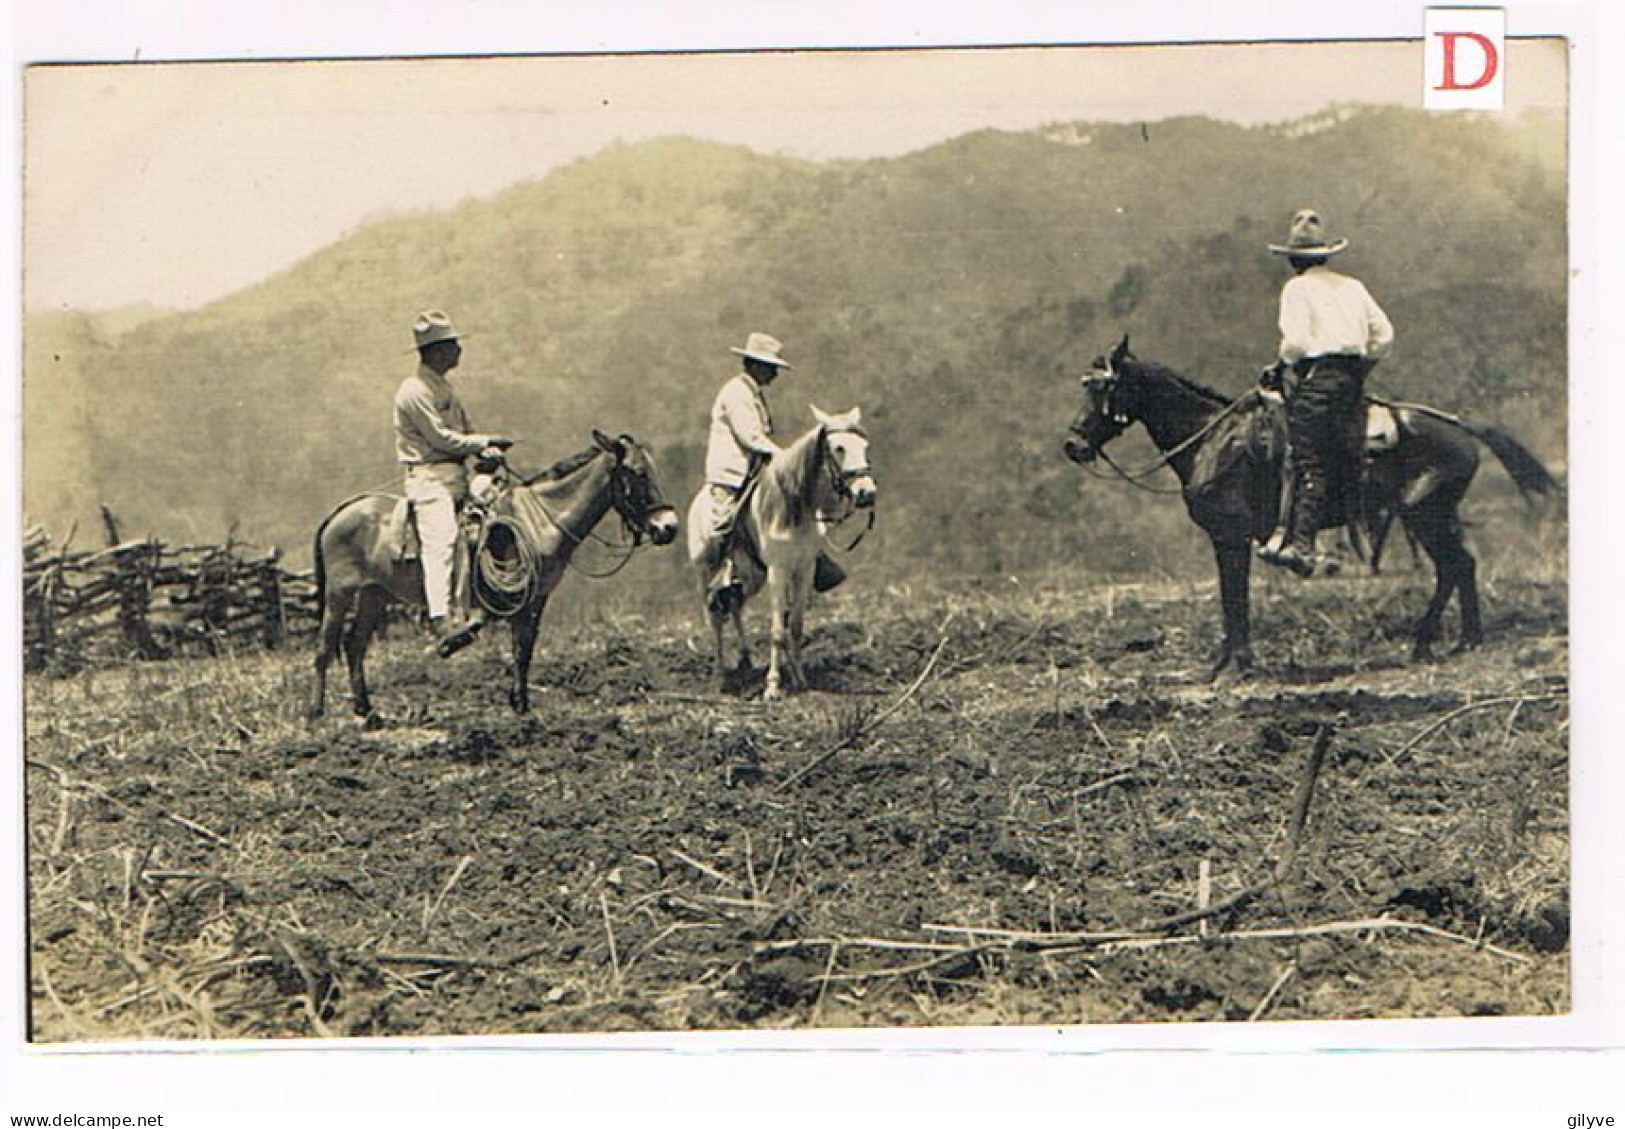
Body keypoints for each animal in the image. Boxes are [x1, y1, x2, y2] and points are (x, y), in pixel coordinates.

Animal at [307, 428, 676, 721]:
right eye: (637, 473)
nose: (668, 527)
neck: (537, 521)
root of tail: (340, 512)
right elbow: (503, 632)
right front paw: (460, 641)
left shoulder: (537, 598)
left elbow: (523, 648)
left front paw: (521, 705)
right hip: (339, 594)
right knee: (325, 646)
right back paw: (317, 711)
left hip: (374, 594)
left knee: (354, 645)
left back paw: (366, 711)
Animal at [685, 406, 877, 698]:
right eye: (840, 447)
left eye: (865, 446)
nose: (867, 493)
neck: (793, 508)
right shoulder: (778, 570)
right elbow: (777, 630)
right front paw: (773, 686)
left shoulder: (804, 569)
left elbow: (795, 625)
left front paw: (799, 679)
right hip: (705, 573)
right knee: (715, 616)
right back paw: (721, 676)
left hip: (751, 576)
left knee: (736, 605)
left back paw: (745, 660)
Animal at [1059, 331, 1553, 675]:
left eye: (1103, 389)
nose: (1073, 445)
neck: (1212, 440)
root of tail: (1462, 427)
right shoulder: (1222, 539)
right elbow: (1228, 597)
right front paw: (1222, 663)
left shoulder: (1232, 536)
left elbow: (1235, 596)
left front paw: (1240, 664)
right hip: (1436, 516)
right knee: (1460, 566)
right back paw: (1457, 642)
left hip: (1425, 515)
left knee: (1454, 566)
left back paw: (1436, 642)